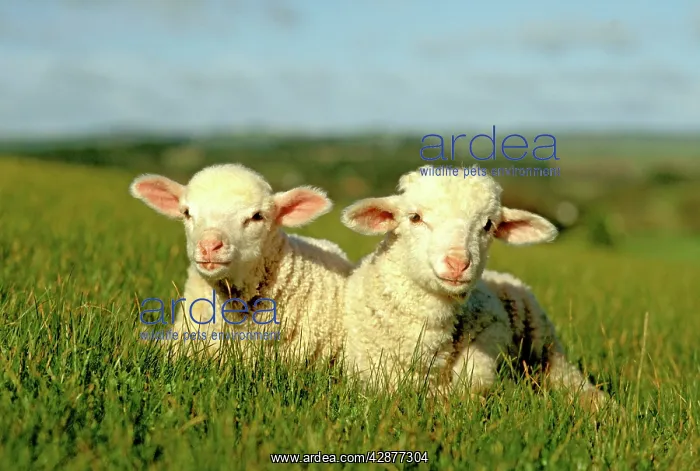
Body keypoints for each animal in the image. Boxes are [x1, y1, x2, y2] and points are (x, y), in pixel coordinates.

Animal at [340, 165, 607, 409]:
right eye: (415, 217)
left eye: (488, 225)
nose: (458, 263)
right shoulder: (371, 371)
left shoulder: (493, 328)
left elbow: (473, 377)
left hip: (543, 340)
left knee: (565, 375)